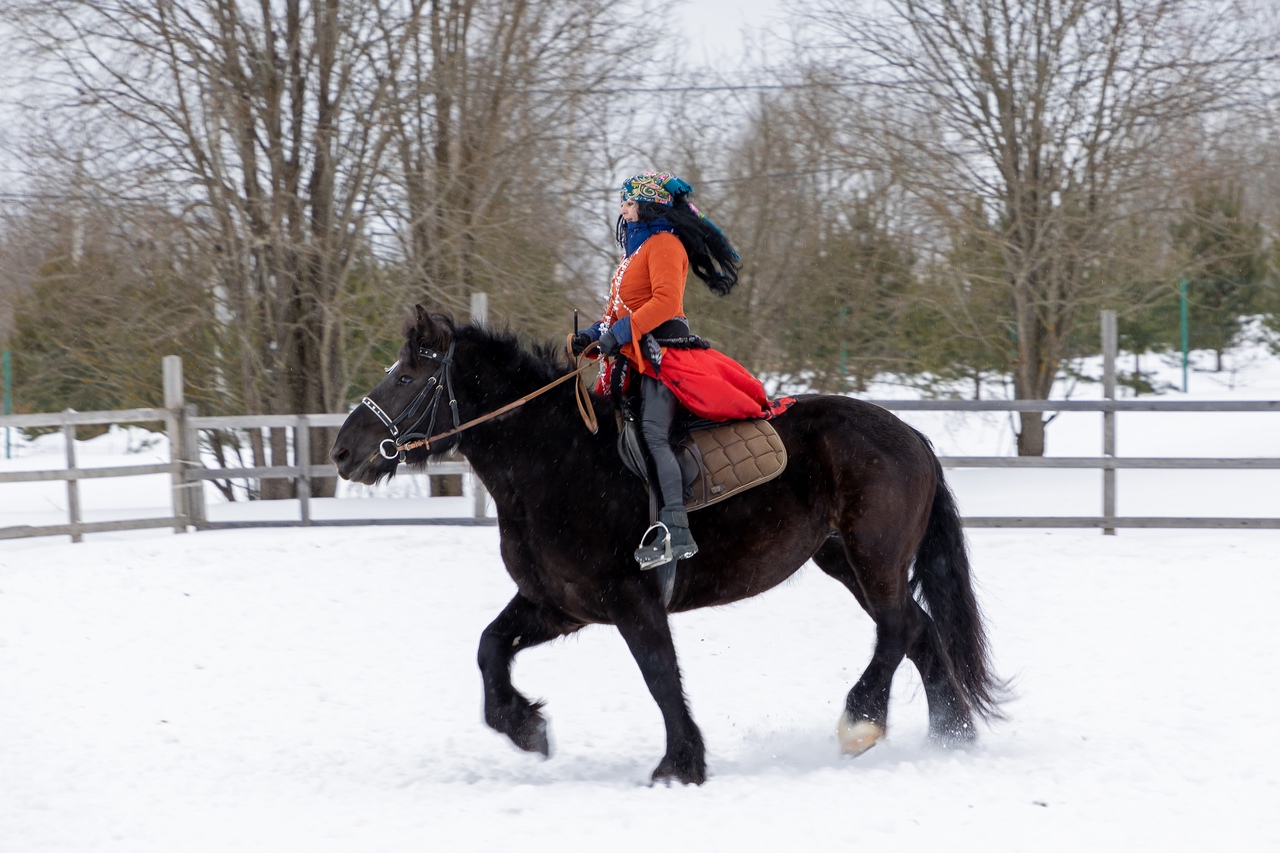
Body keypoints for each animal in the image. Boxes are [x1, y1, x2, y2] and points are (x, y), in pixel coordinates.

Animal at [327, 306, 998, 783]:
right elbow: (490, 648)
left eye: (406, 376)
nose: (342, 451)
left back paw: (862, 721)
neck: (557, 461)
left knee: (897, 627)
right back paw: (952, 739)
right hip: (846, 562)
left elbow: (659, 676)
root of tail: (910, 434)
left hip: (873, 558)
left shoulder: (632, 601)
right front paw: (525, 729)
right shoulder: (559, 603)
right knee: (918, 630)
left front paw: (680, 765)